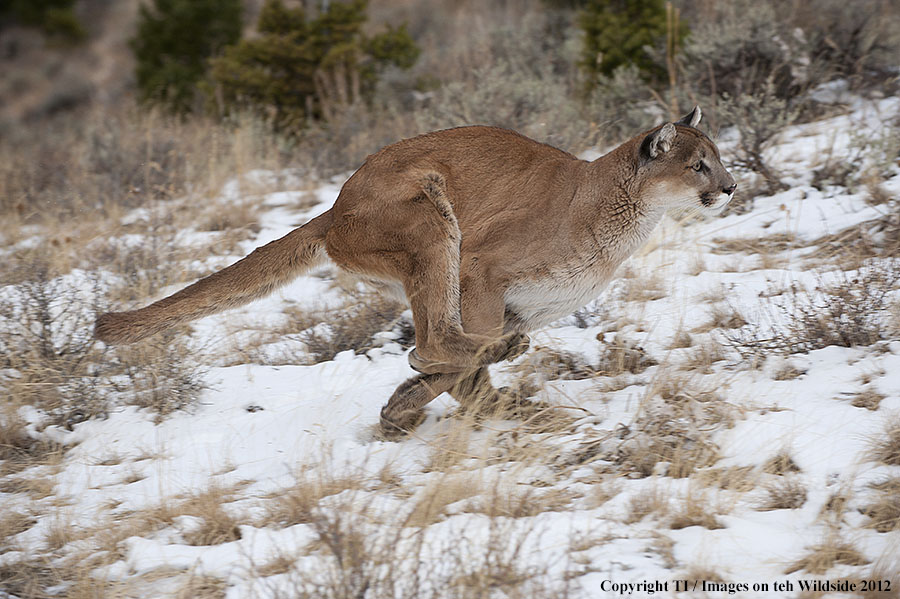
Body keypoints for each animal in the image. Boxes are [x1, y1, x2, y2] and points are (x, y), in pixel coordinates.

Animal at [96, 106, 732, 436]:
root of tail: (336, 207)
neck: (625, 212)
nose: (730, 187)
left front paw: (402, 405)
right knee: (434, 338)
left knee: (437, 341)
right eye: (698, 165)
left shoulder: (519, 302)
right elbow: (459, 366)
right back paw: (497, 360)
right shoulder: (481, 267)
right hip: (431, 219)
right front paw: (455, 399)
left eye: (719, 158)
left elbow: (455, 378)